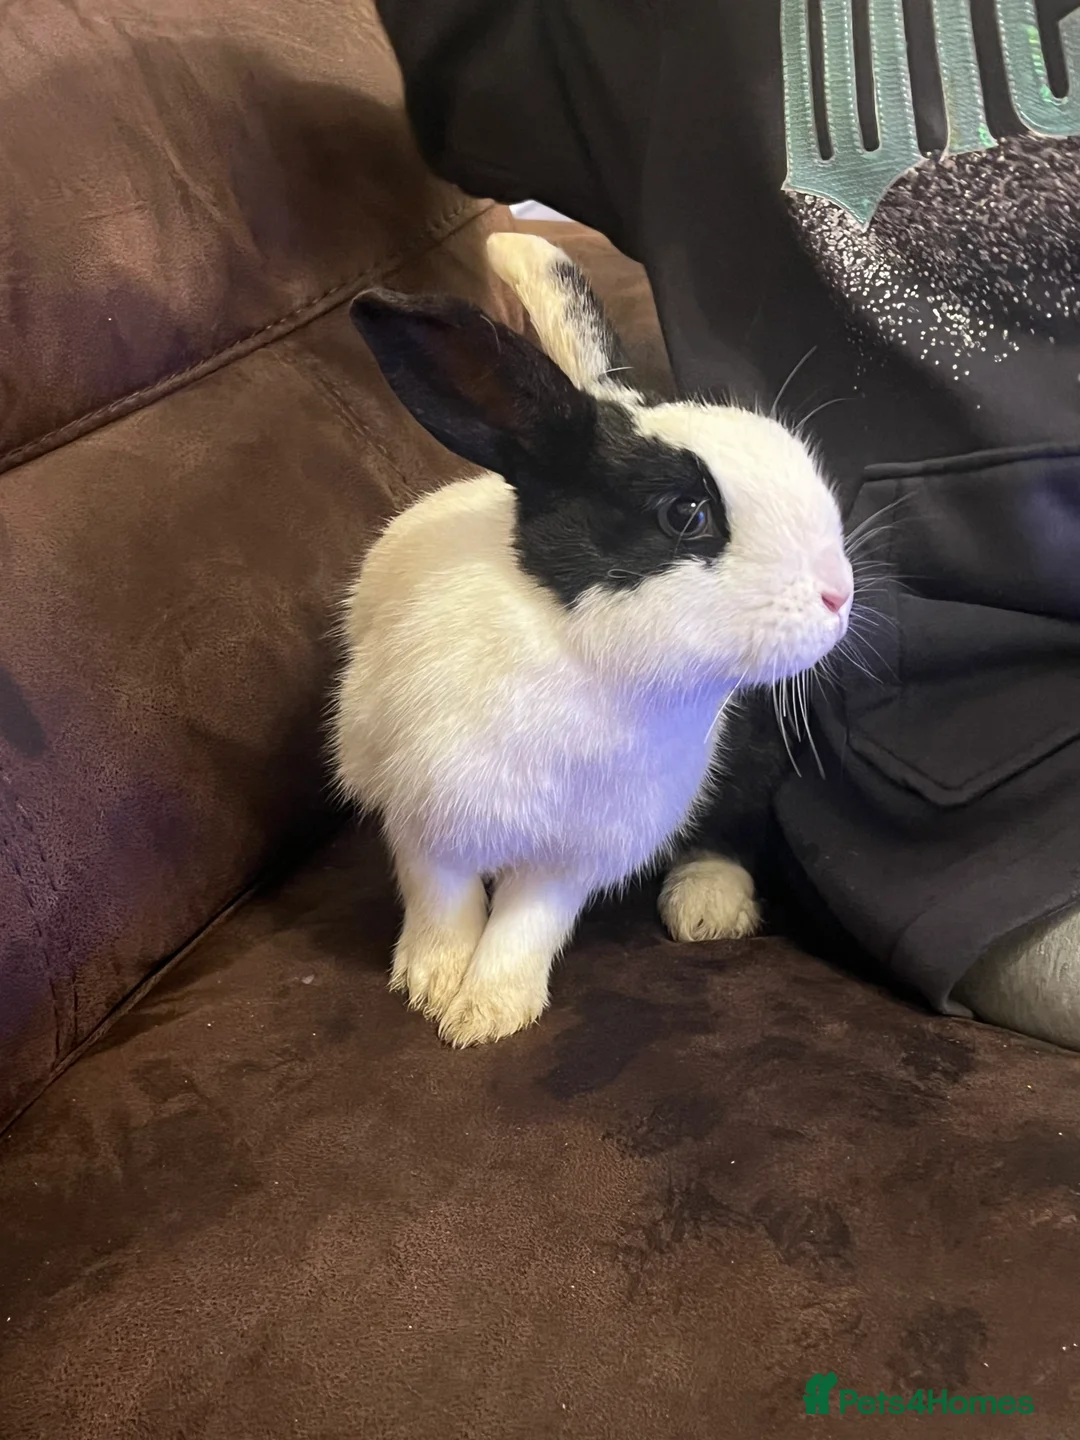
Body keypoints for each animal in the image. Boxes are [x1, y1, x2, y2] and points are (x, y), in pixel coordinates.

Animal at [331, 232, 853, 1047]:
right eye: (685, 514)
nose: (839, 595)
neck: (584, 658)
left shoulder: (580, 847)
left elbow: (528, 921)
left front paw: (488, 1012)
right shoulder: (422, 811)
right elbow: (441, 899)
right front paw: (430, 983)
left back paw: (706, 908)